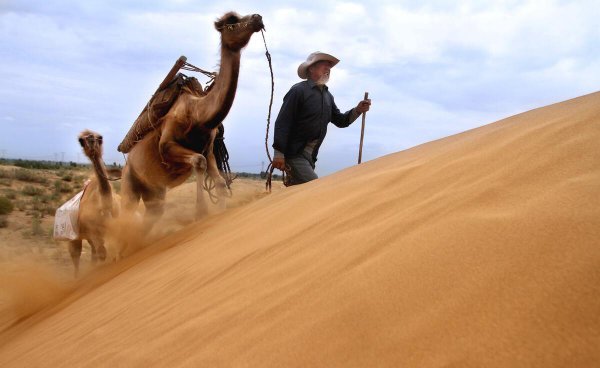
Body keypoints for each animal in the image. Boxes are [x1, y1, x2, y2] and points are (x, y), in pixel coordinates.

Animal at [68, 129, 120, 276]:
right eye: (81, 140)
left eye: (100, 138)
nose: (91, 139)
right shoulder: (94, 231)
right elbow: (103, 254)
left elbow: (115, 250)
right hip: (75, 238)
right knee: (76, 256)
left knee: (93, 253)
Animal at [120, 12, 264, 233]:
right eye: (231, 21)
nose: (257, 17)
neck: (198, 115)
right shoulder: (166, 145)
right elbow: (199, 162)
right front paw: (201, 214)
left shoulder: (210, 149)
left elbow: (219, 182)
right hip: (129, 182)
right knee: (125, 211)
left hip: (154, 192)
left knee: (152, 215)